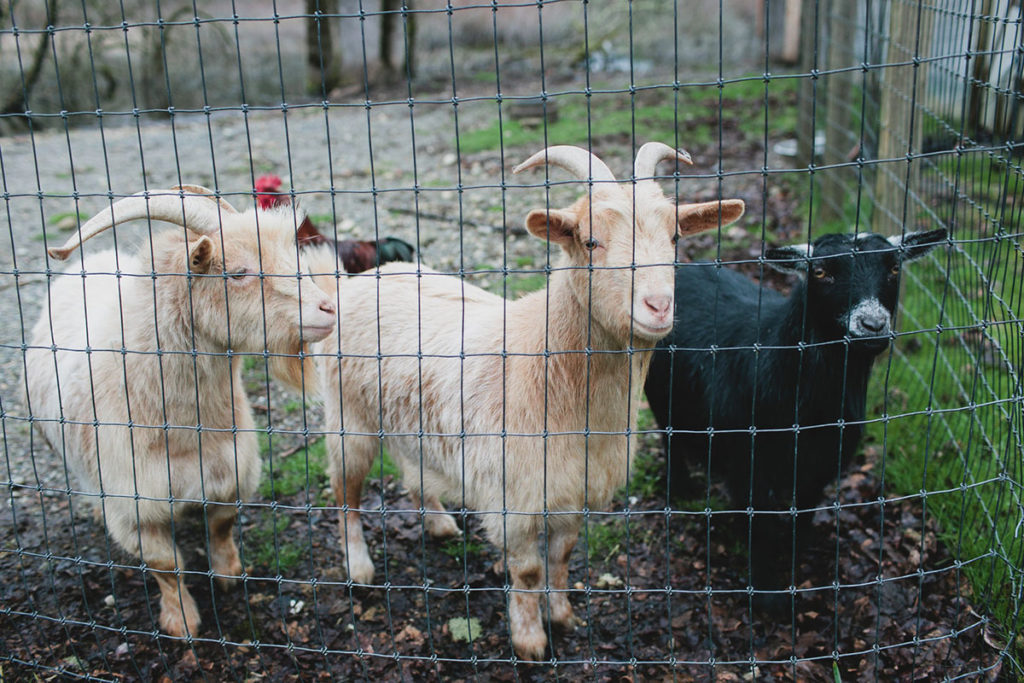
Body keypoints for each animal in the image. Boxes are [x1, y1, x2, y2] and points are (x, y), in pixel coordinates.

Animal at [24, 188, 335, 643]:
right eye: (237, 273)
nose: (327, 308)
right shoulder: (134, 508)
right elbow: (165, 567)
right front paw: (183, 623)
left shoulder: (232, 476)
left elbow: (221, 528)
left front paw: (230, 576)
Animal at [299, 145, 749, 663]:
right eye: (590, 242)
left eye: (675, 235)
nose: (657, 306)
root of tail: (351, 283)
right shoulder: (513, 498)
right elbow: (529, 570)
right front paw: (530, 640)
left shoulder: (572, 491)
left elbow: (562, 557)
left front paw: (563, 616)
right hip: (347, 417)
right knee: (345, 492)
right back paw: (360, 569)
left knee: (413, 467)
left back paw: (438, 522)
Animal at [643, 229, 946, 614]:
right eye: (820, 272)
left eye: (894, 267)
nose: (872, 326)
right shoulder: (749, 466)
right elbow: (761, 528)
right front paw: (767, 596)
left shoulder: (819, 468)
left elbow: (802, 520)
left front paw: (794, 563)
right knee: (668, 436)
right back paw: (682, 488)